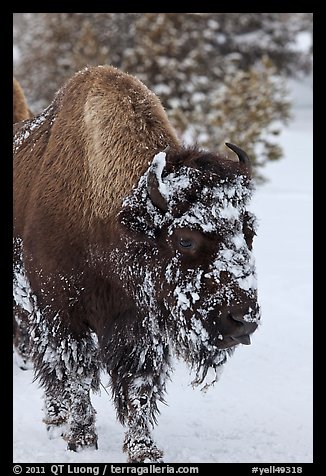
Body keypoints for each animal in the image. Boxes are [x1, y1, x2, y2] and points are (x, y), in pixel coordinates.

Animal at [14, 65, 262, 462]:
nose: (242, 320)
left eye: (249, 231)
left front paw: (145, 451)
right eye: (185, 238)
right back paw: (56, 420)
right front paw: (81, 440)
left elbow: (138, 388)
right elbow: (76, 377)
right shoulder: (63, 316)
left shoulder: (139, 326)